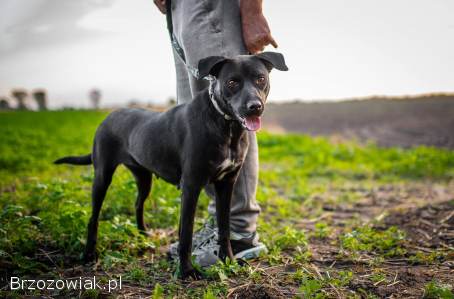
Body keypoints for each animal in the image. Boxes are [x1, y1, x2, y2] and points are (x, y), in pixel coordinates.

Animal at [53, 51, 288, 278]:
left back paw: (143, 235)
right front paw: (186, 271)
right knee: (94, 217)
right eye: (232, 82)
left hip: (143, 177)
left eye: (260, 79)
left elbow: (224, 228)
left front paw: (228, 261)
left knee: (138, 204)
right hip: (102, 175)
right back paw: (89, 254)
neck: (224, 124)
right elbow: (186, 233)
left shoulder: (227, 183)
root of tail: (108, 116)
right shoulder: (191, 186)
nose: (255, 107)